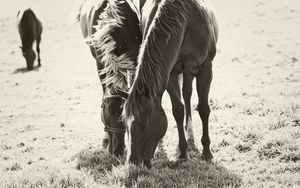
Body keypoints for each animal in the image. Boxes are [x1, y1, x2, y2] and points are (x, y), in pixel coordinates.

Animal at [123, 0, 219, 167]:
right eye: (126, 125)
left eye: (144, 123)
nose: (133, 162)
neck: (187, 20)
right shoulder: (170, 73)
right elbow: (178, 110)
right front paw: (183, 153)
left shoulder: (206, 69)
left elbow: (203, 109)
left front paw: (207, 152)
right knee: (186, 94)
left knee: (188, 94)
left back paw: (191, 133)